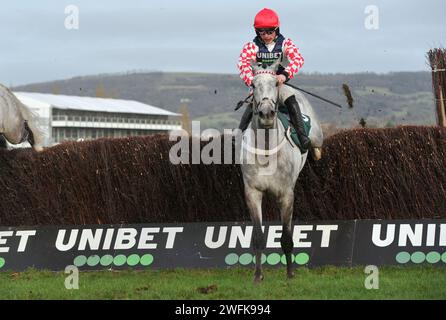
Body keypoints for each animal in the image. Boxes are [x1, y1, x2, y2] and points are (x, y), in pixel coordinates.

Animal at [240, 60, 320, 282]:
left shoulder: (286, 195)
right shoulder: (253, 193)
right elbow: (258, 237)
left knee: (316, 143)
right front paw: (258, 276)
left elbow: (286, 237)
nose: (266, 114)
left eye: (275, 83)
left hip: (316, 134)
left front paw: (290, 273)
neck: (267, 151)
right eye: (253, 85)